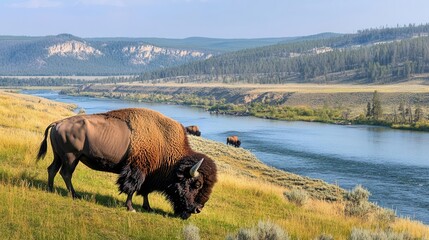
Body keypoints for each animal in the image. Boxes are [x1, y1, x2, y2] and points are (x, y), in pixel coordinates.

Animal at [36, 108, 217, 219]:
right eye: (197, 184)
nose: (198, 209)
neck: (164, 144)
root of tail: (57, 123)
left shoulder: (148, 175)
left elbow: (144, 191)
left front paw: (147, 207)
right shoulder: (137, 170)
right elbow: (132, 188)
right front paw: (131, 208)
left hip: (59, 156)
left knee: (52, 170)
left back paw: (50, 189)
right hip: (71, 157)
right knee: (65, 174)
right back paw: (74, 195)